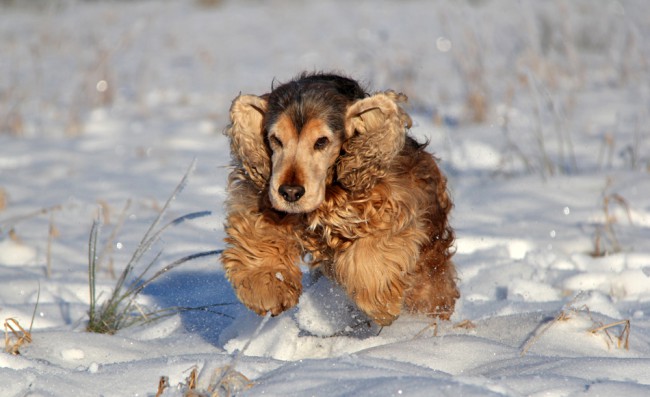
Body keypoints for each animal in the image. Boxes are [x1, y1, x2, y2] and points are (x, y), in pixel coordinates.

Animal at [220, 72, 458, 324]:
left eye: (321, 141)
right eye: (275, 139)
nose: (290, 192)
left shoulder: (389, 204)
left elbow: (372, 251)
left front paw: (382, 304)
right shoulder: (264, 200)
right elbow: (259, 235)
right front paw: (268, 289)